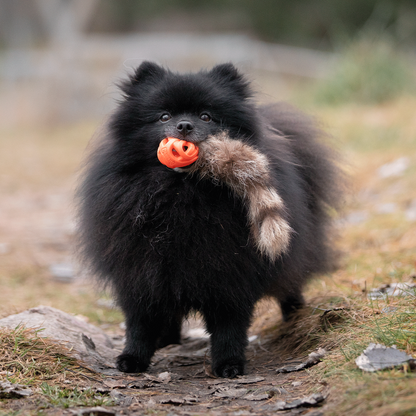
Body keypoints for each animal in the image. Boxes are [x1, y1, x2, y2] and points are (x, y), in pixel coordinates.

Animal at [77, 61, 342, 376]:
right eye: (164, 116)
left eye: (206, 116)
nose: (184, 125)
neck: (182, 194)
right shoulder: (141, 270)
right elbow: (140, 322)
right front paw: (133, 358)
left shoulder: (231, 272)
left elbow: (230, 326)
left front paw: (229, 364)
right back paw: (166, 339)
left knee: (291, 282)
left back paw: (295, 316)